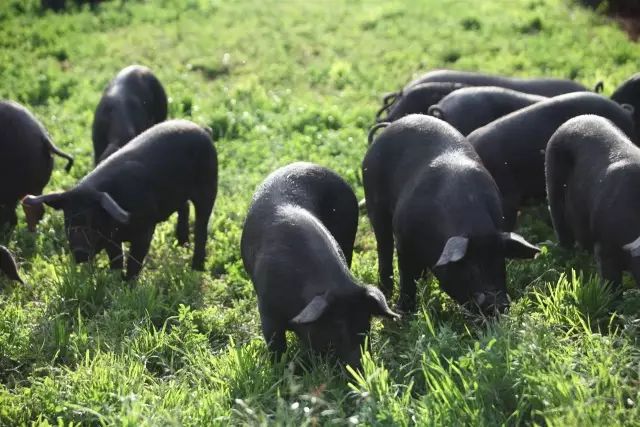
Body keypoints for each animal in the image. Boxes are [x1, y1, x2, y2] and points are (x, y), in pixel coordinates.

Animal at [23, 120, 218, 280]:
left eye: (93, 220)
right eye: (68, 219)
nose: (80, 253)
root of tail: (202, 129)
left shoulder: (146, 229)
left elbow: (135, 260)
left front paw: (129, 284)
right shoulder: (112, 240)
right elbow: (116, 260)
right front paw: (116, 281)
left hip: (209, 186)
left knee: (202, 225)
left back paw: (197, 268)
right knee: (184, 207)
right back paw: (182, 244)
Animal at [241, 162, 398, 366]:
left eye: (367, 323)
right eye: (336, 326)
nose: (360, 367)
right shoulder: (266, 309)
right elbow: (276, 345)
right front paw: (279, 368)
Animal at [362, 113, 536, 314]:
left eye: (500, 262)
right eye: (471, 267)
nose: (497, 304)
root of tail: (389, 126)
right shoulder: (403, 239)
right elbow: (406, 276)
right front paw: (403, 312)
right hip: (374, 202)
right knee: (384, 246)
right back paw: (386, 291)